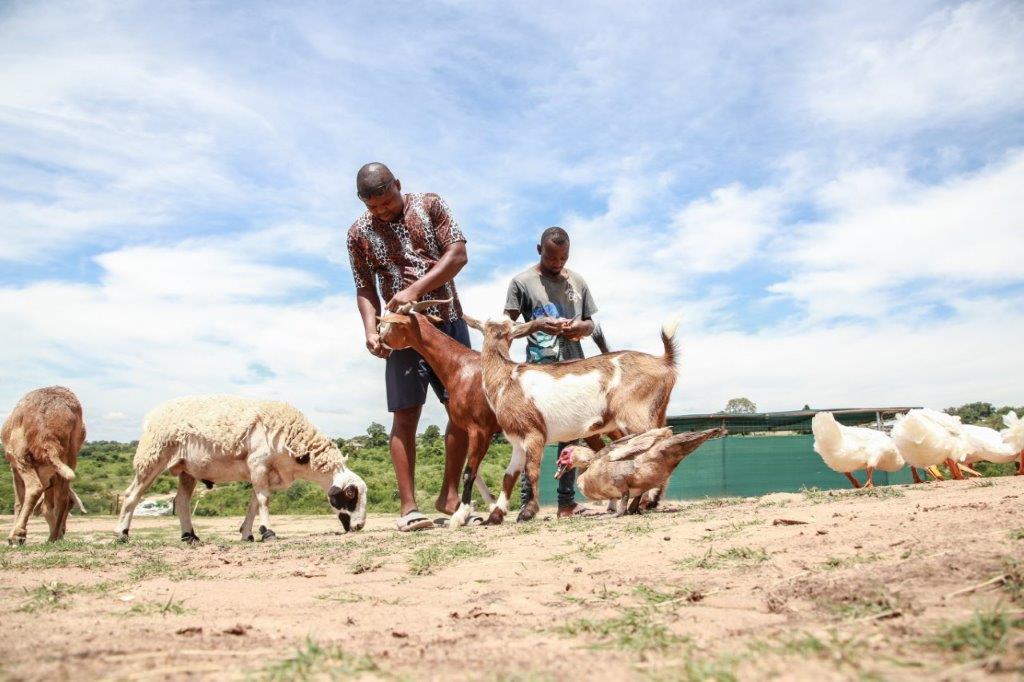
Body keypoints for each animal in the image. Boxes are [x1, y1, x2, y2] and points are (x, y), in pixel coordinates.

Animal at [1, 385, 84, 544]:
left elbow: (18, 501)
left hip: (21, 457)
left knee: (34, 488)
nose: (64, 532)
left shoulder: (14, 466)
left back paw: (17, 535)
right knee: (62, 497)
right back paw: (53, 537)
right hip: (70, 457)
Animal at [116, 393, 368, 540]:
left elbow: (254, 503)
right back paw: (122, 534)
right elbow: (264, 500)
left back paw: (190, 537)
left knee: (182, 501)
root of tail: (151, 416)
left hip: (187, 469)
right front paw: (268, 533)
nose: (359, 526)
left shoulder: (267, 472)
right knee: (131, 495)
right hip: (152, 457)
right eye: (350, 494)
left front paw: (247, 534)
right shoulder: (258, 464)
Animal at [464, 313, 679, 520]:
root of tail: (664, 361)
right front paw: (496, 515)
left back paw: (645, 501)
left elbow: (531, 471)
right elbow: (508, 477)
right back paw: (644, 501)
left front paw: (528, 512)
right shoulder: (518, 442)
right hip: (654, 412)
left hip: (634, 415)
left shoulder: (534, 433)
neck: (506, 380)